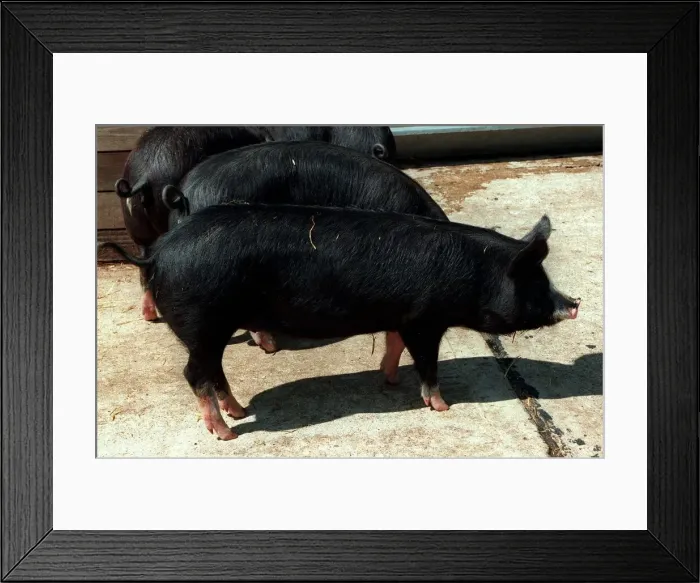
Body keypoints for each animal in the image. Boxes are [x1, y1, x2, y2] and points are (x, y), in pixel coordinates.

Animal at [99, 205, 580, 441]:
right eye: (535, 282)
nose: (573, 303)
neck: (474, 274)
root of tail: (156, 254)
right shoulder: (426, 319)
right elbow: (426, 362)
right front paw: (442, 406)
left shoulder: (400, 315)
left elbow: (393, 344)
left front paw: (389, 380)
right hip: (203, 321)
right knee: (194, 373)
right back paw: (227, 434)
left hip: (212, 328)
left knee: (212, 370)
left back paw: (238, 411)